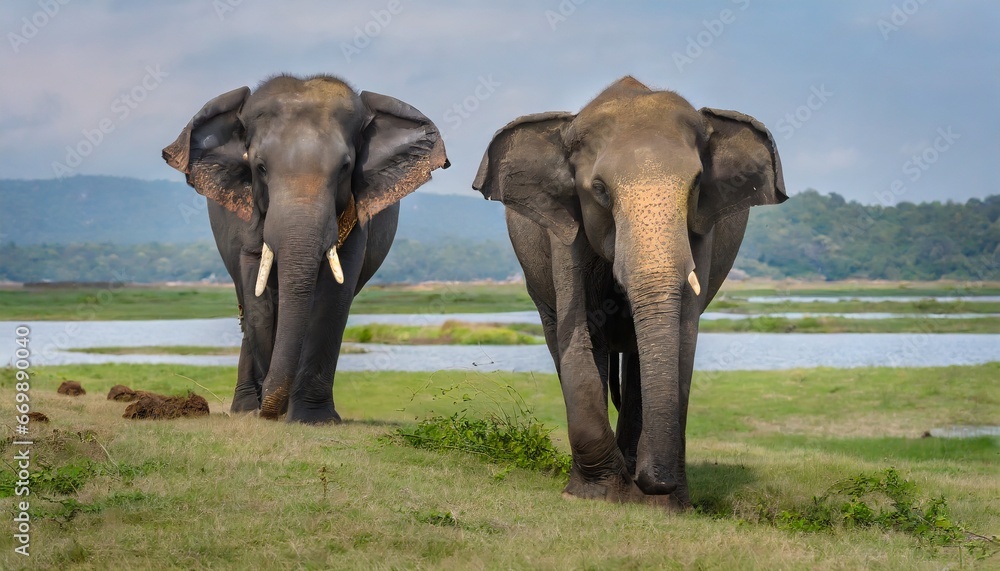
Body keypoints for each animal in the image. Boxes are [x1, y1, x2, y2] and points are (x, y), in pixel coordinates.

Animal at [163, 74, 448, 423]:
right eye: (260, 167)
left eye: (345, 167)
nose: (270, 409)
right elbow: (256, 280)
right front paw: (266, 409)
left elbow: (334, 291)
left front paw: (313, 419)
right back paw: (245, 408)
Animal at [473, 76, 786, 507]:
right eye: (600, 190)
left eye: (696, 186)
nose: (657, 482)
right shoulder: (565, 225)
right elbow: (581, 328)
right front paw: (596, 494)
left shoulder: (704, 230)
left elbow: (685, 332)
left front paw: (665, 505)